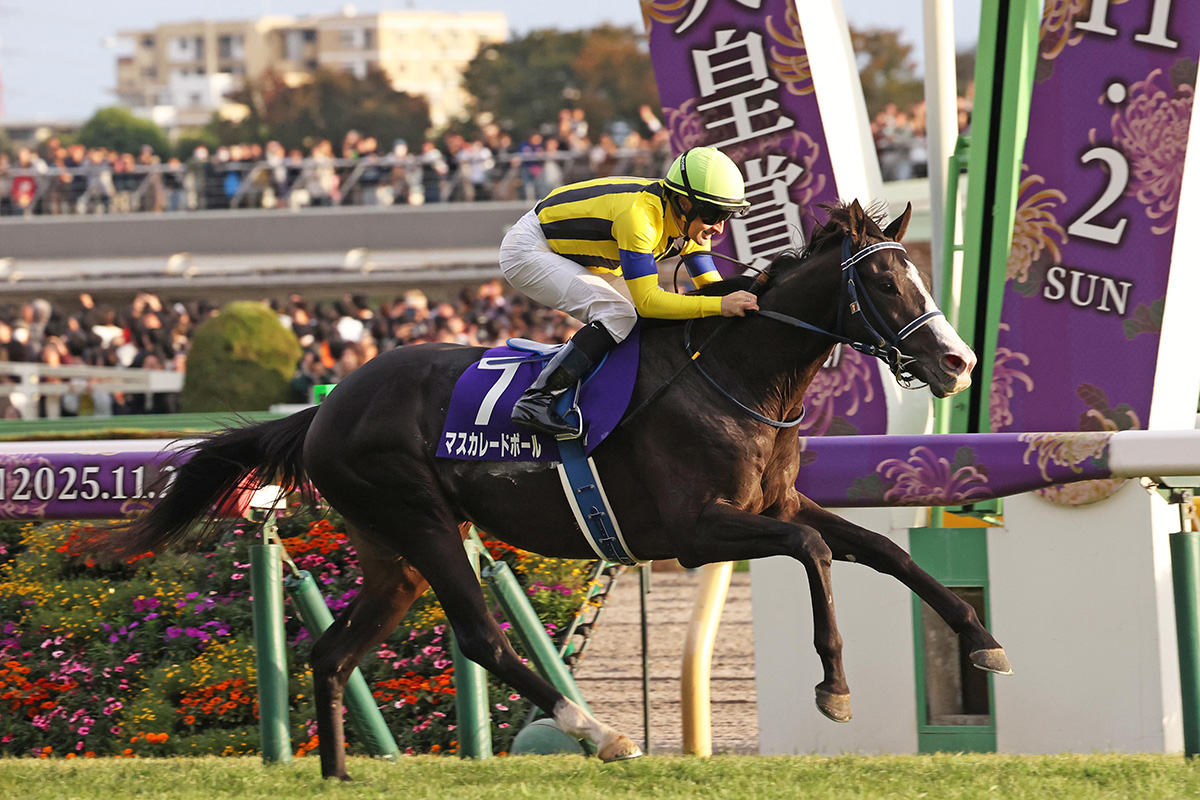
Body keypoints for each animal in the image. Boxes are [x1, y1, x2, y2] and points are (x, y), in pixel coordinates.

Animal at [91, 200, 1010, 780]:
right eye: (885, 284)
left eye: (920, 275)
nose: (959, 361)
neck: (739, 376)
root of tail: (324, 410)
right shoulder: (696, 531)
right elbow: (817, 552)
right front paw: (835, 688)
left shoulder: (771, 505)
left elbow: (886, 550)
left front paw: (981, 642)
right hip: (423, 523)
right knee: (479, 638)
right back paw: (598, 734)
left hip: (392, 552)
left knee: (333, 651)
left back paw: (341, 774)